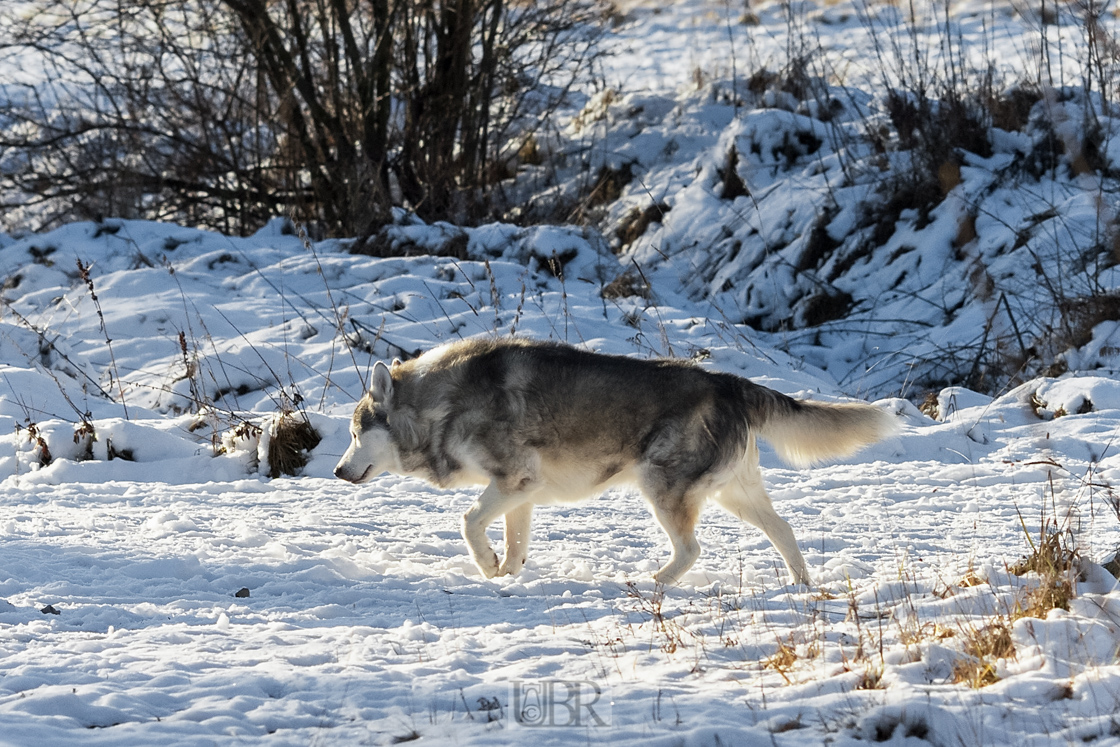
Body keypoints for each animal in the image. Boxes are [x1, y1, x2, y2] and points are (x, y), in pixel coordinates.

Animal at [331, 335, 891, 586]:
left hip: (662, 490)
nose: (336, 471)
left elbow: (468, 522)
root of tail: (727, 381)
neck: (441, 404)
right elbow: (514, 544)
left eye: (356, 433)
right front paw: (507, 574)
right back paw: (801, 585)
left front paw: (487, 566)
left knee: (692, 550)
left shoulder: (513, 481)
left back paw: (652, 583)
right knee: (785, 531)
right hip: (735, 494)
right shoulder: (521, 492)